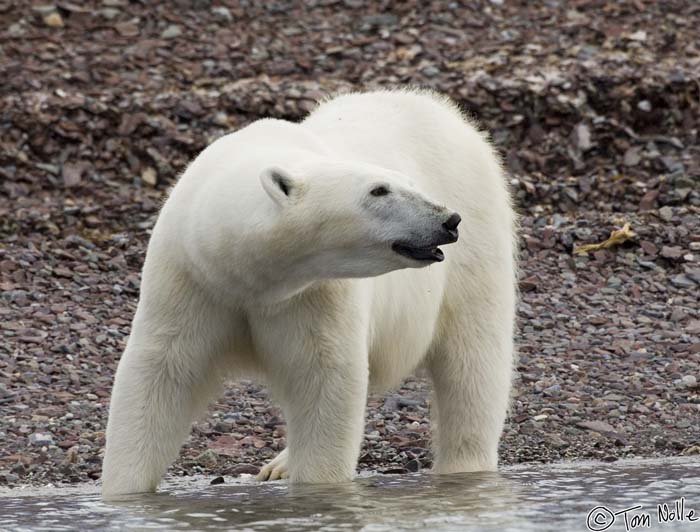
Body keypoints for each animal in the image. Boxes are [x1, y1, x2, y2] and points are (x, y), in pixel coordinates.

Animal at [101, 88, 516, 498]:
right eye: (379, 190)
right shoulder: (190, 279)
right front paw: (124, 492)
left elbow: (324, 377)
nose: (447, 220)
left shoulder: (316, 293)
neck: (246, 275)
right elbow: (160, 373)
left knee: (472, 362)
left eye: (409, 184)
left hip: (477, 243)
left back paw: (464, 467)